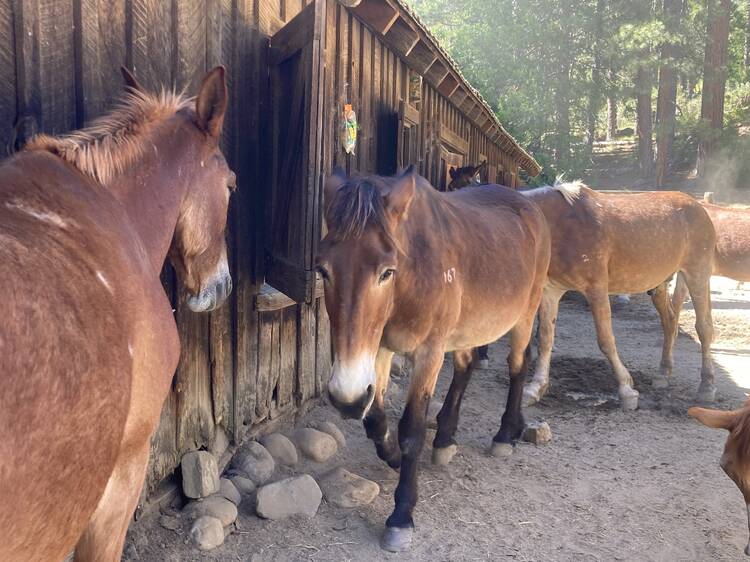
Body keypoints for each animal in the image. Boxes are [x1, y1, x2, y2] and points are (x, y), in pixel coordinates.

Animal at [318, 166, 552, 552]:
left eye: (386, 272)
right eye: (323, 270)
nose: (346, 399)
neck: (413, 273)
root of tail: (527, 205)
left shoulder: (428, 352)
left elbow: (411, 429)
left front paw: (401, 515)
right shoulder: (379, 348)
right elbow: (376, 420)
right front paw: (394, 457)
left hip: (524, 312)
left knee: (518, 364)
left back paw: (505, 433)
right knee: (466, 366)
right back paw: (446, 438)